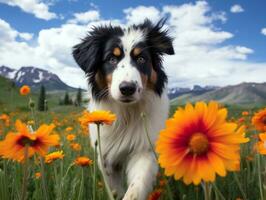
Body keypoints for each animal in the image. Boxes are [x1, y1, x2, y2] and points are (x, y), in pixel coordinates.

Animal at [72, 19, 175, 200]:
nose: (127, 88)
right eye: (111, 59)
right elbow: (115, 189)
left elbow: (136, 186)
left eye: (141, 58)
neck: (127, 113)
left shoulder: (145, 148)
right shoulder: (107, 156)